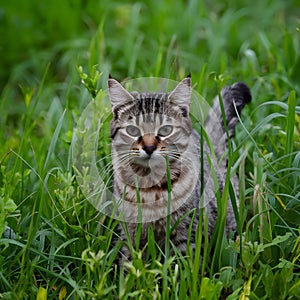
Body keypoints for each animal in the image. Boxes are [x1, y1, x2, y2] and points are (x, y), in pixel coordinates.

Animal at [108, 75, 251, 260]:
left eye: (165, 130)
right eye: (132, 130)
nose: (149, 148)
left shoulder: (187, 235)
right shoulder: (129, 236)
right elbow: (128, 262)